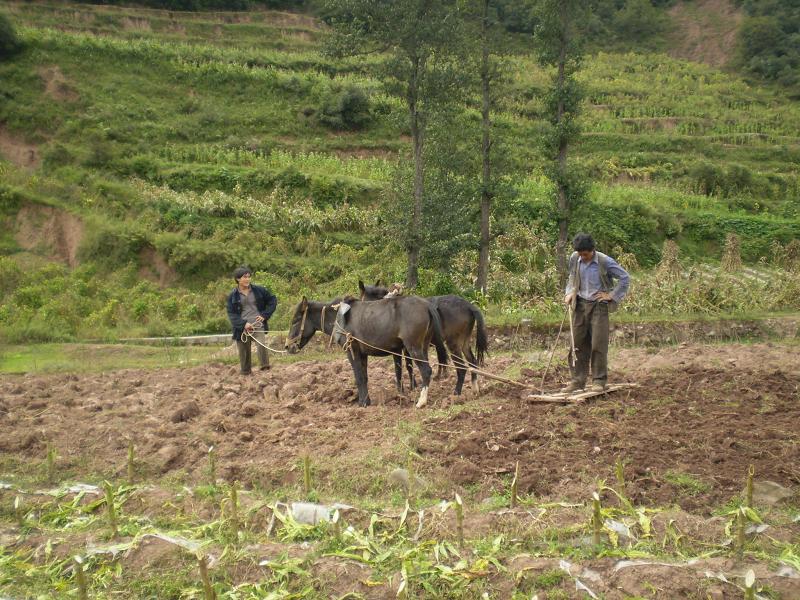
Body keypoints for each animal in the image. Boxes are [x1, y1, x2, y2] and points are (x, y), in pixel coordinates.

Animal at [282, 296, 446, 408]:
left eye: (295, 321)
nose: (287, 346)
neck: (339, 318)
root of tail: (427, 305)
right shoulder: (363, 354)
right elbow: (365, 377)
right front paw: (366, 400)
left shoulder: (352, 351)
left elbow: (359, 377)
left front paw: (362, 403)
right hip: (423, 347)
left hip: (413, 348)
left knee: (426, 371)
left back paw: (421, 401)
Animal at [360, 282, 488, 398]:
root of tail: (468, 305)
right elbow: (409, 365)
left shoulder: (405, 348)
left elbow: (406, 366)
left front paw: (411, 386)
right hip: (464, 342)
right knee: (473, 362)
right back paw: (475, 388)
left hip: (453, 344)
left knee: (462, 368)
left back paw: (456, 393)